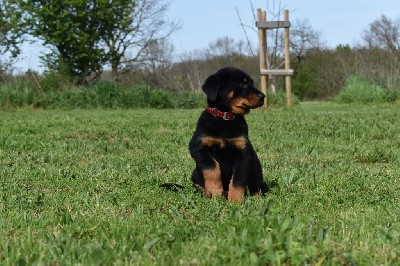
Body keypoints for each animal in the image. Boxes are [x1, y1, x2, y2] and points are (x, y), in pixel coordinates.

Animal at [190, 67, 268, 203]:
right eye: (242, 84)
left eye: (252, 83)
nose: (263, 96)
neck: (226, 118)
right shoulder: (198, 147)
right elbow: (212, 167)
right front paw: (215, 191)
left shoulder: (243, 154)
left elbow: (238, 180)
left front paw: (235, 201)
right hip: (195, 173)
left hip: (257, 172)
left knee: (256, 187)